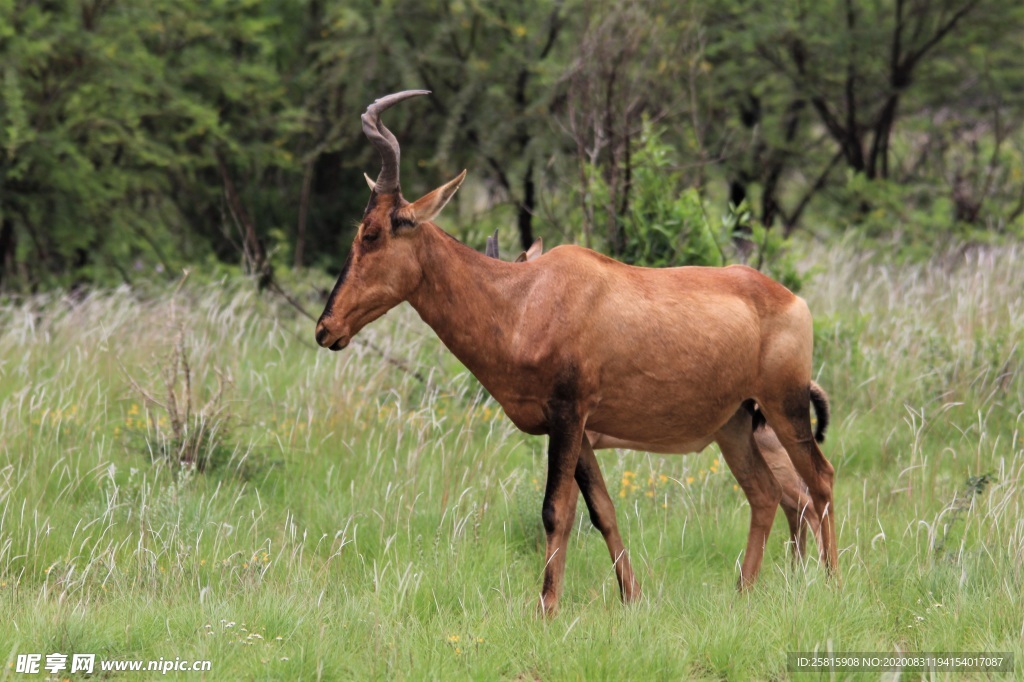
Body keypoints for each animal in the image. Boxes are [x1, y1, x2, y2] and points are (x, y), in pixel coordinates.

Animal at [313, 90, 839, 610]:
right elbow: (601, 509)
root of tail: (791, 299)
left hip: (785, 408)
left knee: (820, 480)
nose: (325, 328)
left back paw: (833, 581)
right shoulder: (576, 428)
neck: (525, 296)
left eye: (372, 233)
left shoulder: (569, 415)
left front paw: (546, 607)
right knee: (766, 493)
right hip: (734, 423)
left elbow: (555, 510)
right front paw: (631, 597)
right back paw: (743, 592)